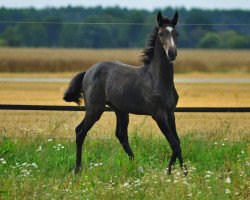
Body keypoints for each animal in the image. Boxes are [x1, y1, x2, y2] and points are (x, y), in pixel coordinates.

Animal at [64, 11, 188, 176]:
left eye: (176, 33)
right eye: (161, 34)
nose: (172, 53)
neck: (157, 79)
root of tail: (88, 72)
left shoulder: (170, 112)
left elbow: (177, 141)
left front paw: (173, 172)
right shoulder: (158, 115)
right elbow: (174, 143)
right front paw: (181, 174)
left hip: (120, 110)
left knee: (121, 135)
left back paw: (137, 167)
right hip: (94, 109)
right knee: (80, 132)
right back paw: (77, 169)